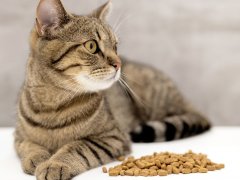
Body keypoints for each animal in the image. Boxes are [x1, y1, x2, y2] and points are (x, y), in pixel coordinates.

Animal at [14, 0, 210, 180]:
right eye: (92, 46)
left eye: (115, 47)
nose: (119, 63)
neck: (54, 103)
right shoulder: (18, 135)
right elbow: (28, 145)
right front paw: (38, 157)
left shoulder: (112, 137)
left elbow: (77, 147)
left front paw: (55, 164)